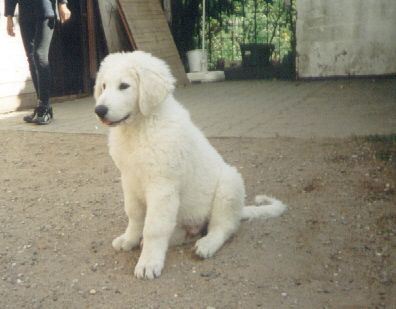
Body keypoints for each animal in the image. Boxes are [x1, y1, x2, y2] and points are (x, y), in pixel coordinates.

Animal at [94, 51, 286, 280]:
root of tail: (240, 209)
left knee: (224, 227)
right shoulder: (129, 180)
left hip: (229, 186)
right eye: (104, 86)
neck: (139, 128)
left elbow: (154, 227)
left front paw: (149, 262)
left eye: (124, 86)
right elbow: (134, 215)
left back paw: (207, 244)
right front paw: (129, 239)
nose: (99, 110)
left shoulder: (162, 186)